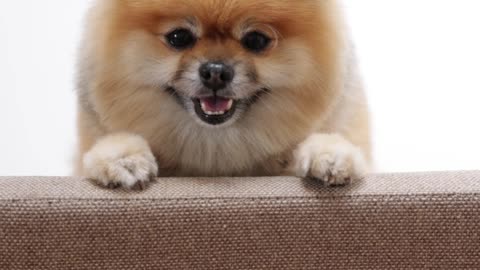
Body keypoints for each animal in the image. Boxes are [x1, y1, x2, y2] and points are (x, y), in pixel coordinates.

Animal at [75, 0, 372, 189]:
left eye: (256, 40)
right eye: (179, 37)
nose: (216, 72)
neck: (215, 147)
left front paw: (330, 155)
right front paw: (123, 158)